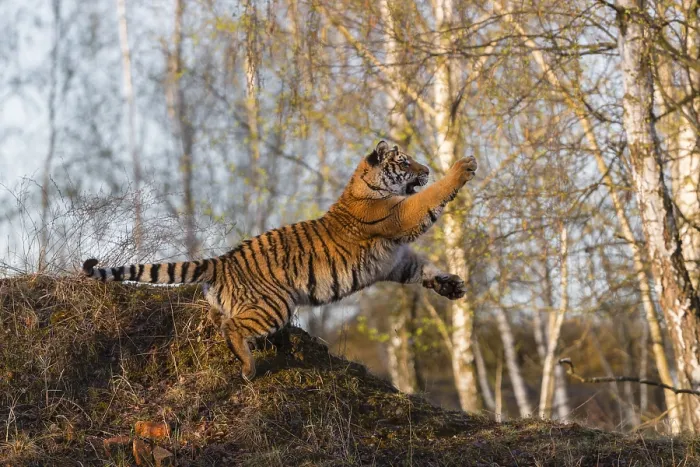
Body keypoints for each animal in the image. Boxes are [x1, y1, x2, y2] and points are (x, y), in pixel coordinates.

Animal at [82, 141, 478, 381]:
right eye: (404, 162)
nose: (425, 170)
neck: (368, 187)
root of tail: (222, 261)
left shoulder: (396, 261)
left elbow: (423, 270)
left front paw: (452, 286)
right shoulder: (402, 217)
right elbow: (432, 197)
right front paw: (463, 166)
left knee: (220, 319)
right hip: (274, 304)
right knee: (233, 329)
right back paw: (248, 367)